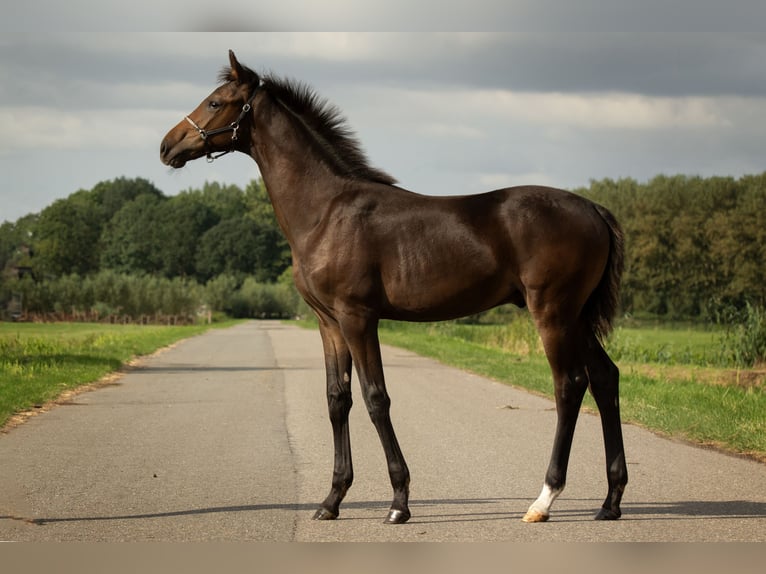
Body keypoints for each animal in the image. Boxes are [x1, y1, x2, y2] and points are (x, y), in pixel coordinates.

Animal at [159, 50, 628, 528]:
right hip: (577, 316)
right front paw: (331, 500)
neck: (326, 210)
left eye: (215, 102)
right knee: (605, 377)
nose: (166, 146)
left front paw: (399, 502)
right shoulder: (329, 322)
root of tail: (593, 208)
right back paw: (610, 501)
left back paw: (543, 500)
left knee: (569, 384)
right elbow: (337, 399)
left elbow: (375, 398)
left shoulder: (358, 318)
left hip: (552, 312)